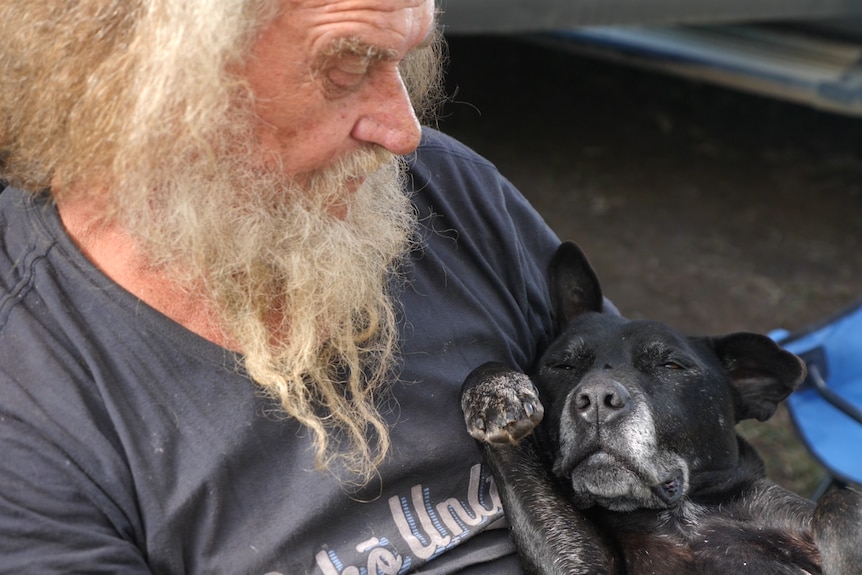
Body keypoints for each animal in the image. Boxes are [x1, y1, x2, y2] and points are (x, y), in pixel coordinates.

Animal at [462, 242, 862, 575]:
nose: (596, 399)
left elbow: (839, 502)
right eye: (562, 365)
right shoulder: (580, 561)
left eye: (670, 365)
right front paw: (495, 393)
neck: (685, 519)